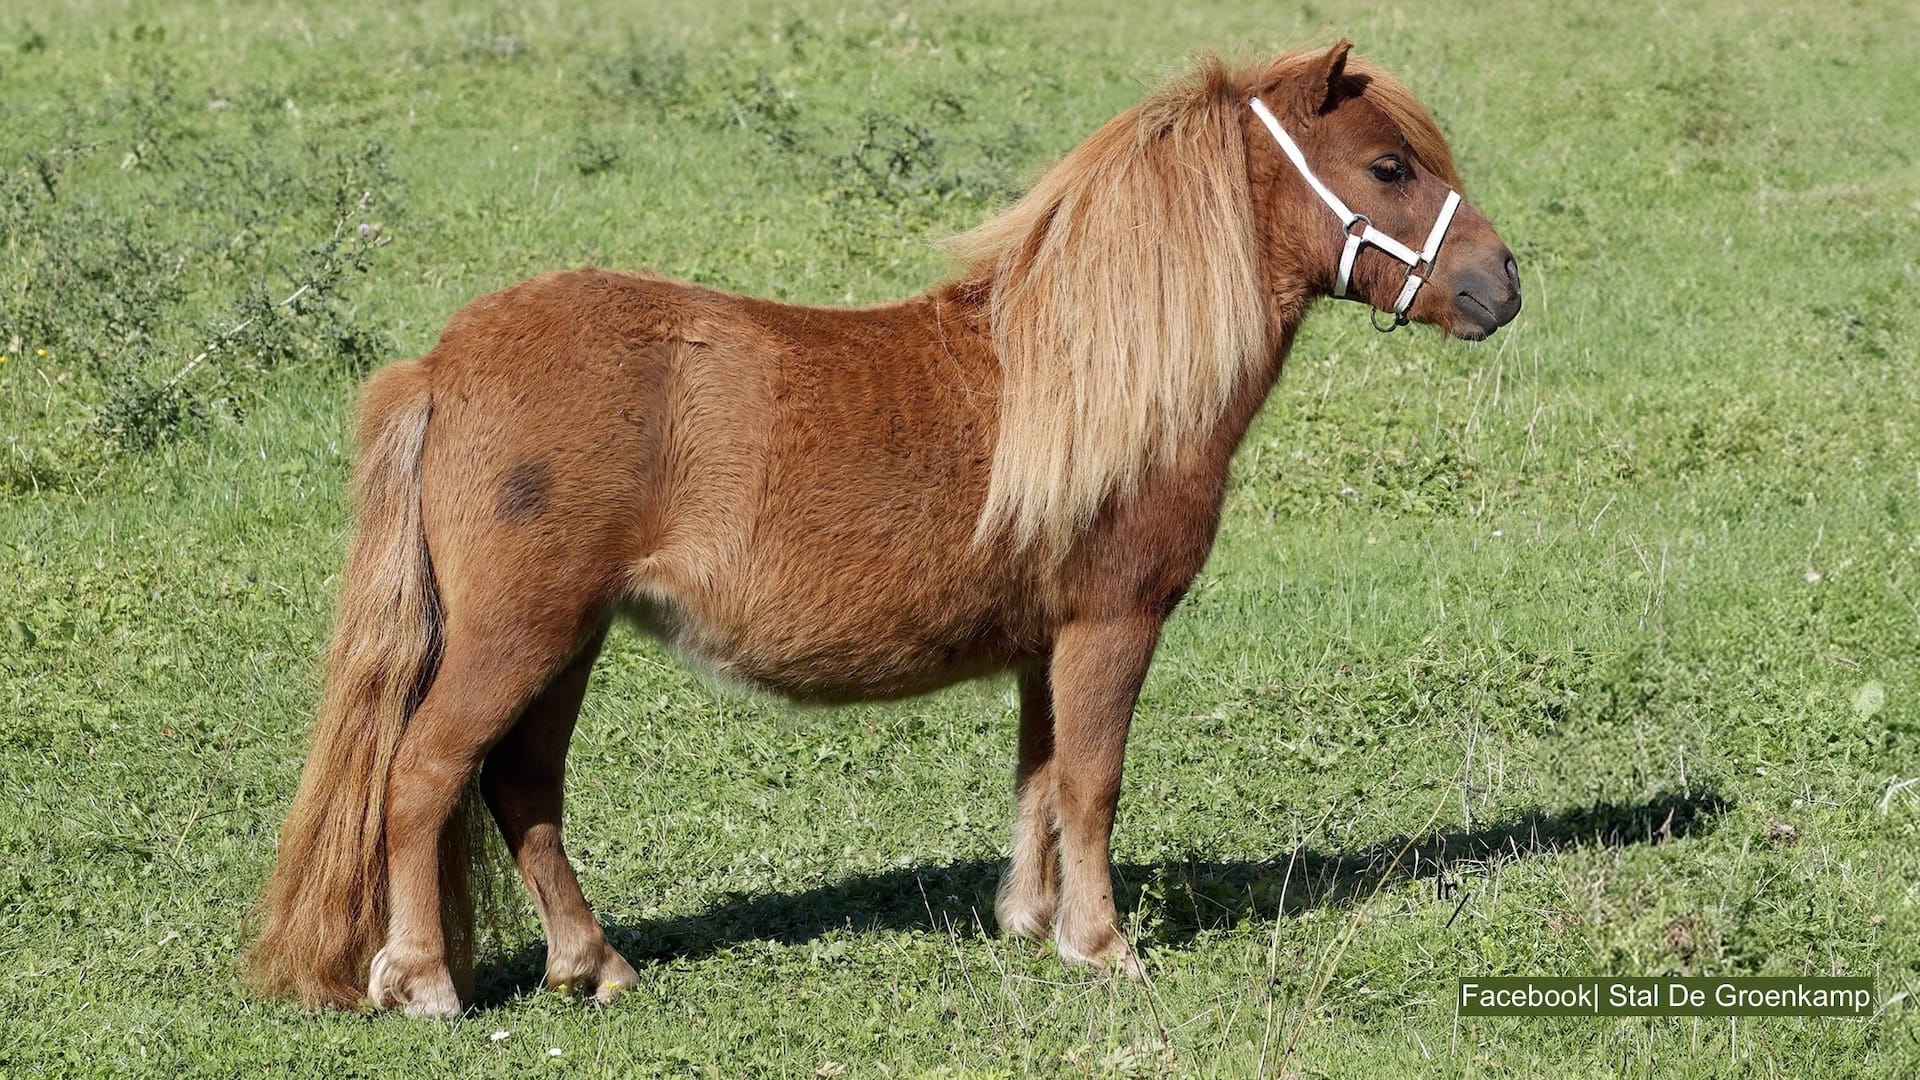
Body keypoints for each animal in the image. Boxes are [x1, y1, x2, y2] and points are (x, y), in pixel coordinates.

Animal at [244, 39, 1521, 1016]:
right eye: (1390, 165)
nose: (1503, 284)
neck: (1090, 375)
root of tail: (441, 367)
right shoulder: (1112, 625)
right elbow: (1092, 785)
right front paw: (1103, 947)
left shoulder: (1045, 646)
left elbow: (1040, 780)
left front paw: (1032, 922)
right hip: (520, 637)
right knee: (425, 774)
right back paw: (423, 982)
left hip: (567, 642)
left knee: (521, 789)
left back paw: (593, 965)